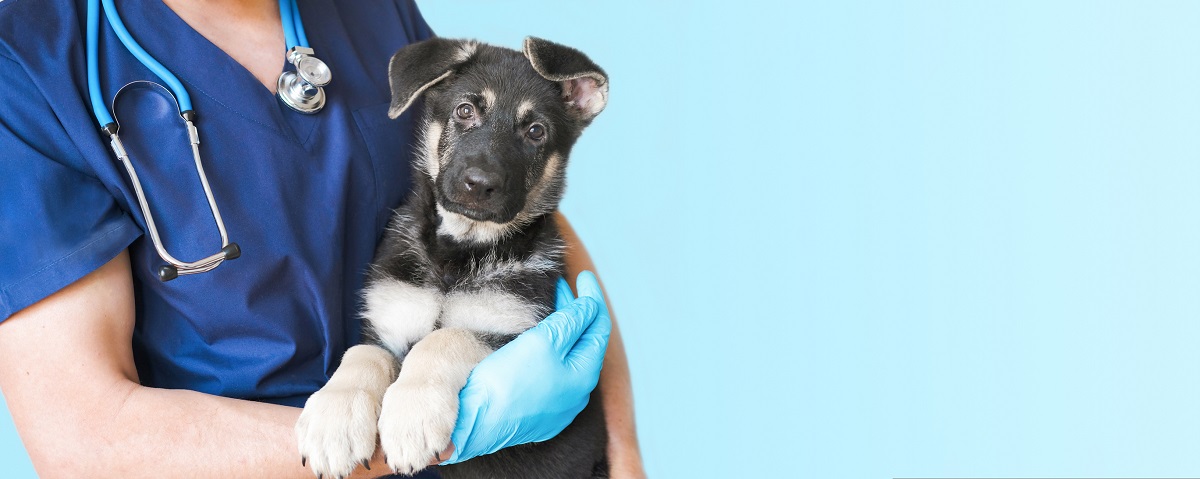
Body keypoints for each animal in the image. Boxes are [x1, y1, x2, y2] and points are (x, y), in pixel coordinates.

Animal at [291, 36, 609, 479]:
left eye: (535, 131)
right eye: (465, 110)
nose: (479, 184)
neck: (458, 251)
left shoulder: (512, 328)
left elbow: (446, 337)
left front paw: (412, 414)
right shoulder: (389, 323)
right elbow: (362, 354)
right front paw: (334, 419)